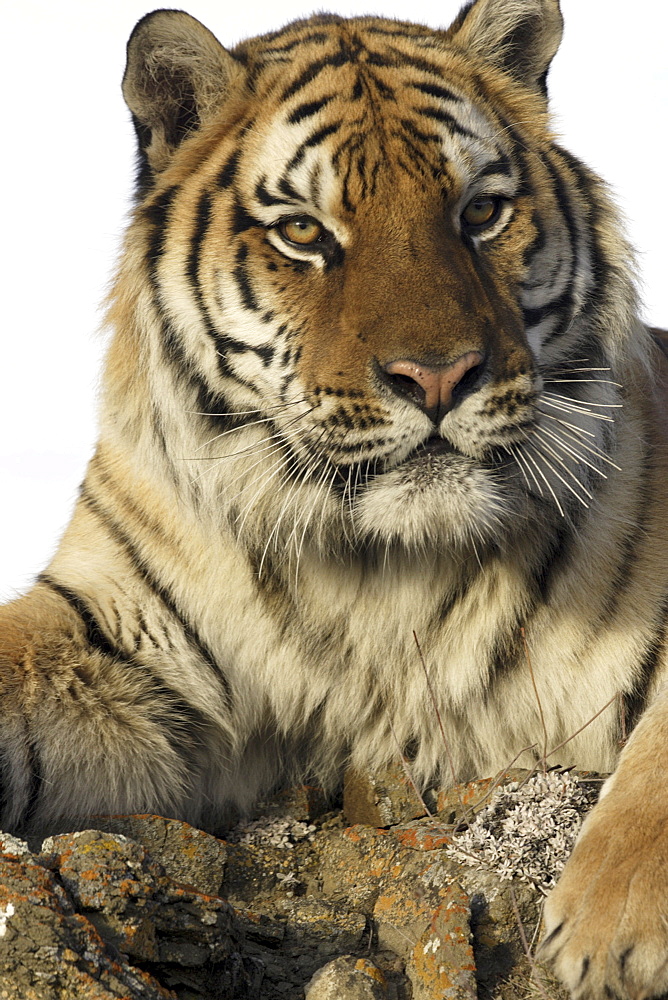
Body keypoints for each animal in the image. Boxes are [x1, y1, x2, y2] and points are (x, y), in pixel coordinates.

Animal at [1, 0, 668, 996]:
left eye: (480, 212)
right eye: (305, 233)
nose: (438, 376)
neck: (378, 564)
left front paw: (615, 932)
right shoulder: (119, 640)